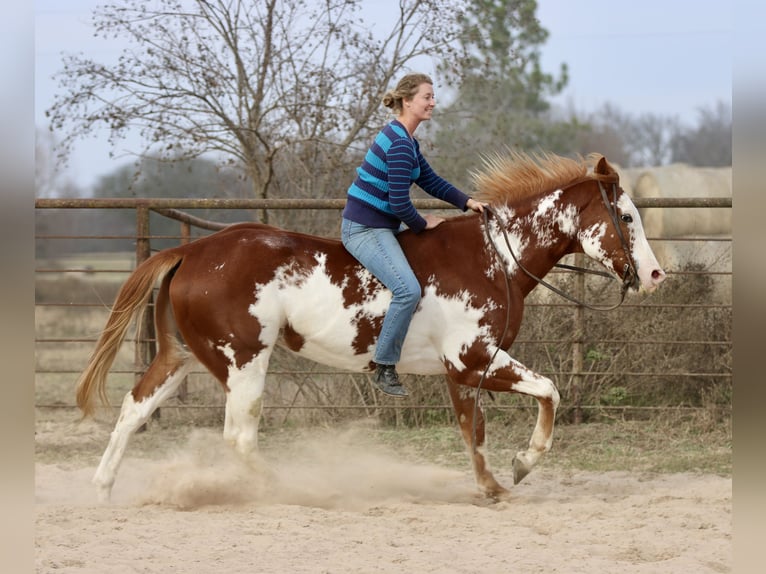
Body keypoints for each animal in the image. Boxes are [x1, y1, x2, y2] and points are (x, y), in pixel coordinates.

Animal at [75, 152, 666, 503]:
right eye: (627, 216)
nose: (656, 274)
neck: (493, 257)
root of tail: (192, 251)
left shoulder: (463, 373)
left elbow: (472, 432)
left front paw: (491, 483)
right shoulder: (474, 359)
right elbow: (548, 391)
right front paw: (521, 466)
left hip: (184, 357)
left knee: (134, 408)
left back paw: (103, 488)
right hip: (244, 362)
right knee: (238, 436)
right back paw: (287, 489)